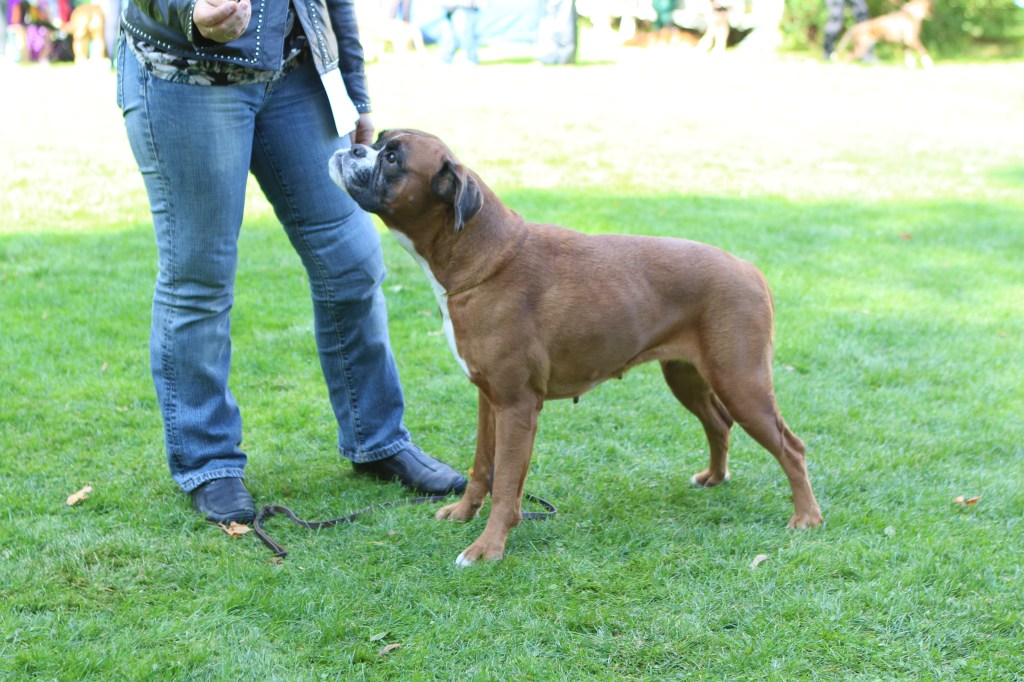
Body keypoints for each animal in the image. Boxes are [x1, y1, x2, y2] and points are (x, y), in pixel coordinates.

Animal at [329, 130, 823, 566]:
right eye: (378, 141)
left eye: (393, 159)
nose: (351, 148)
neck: (479, 252)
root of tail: (747, 267)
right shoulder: (489, 400)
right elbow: (481, 467)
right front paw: (465, 513)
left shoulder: (517, 406)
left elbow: (506, 485)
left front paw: (487, 548)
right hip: (688, 377)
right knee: (719, 424)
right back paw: (716, 479)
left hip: (742, 382)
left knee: (791, 447)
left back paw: (806, 518)